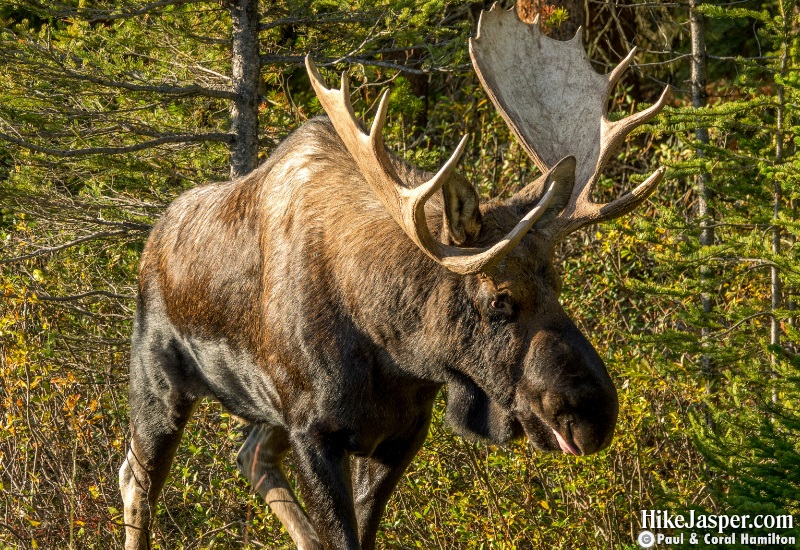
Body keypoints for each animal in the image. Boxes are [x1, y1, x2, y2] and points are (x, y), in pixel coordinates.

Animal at [119, 5, 668, 550]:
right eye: (499, 298)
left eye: (557, 282)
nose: (595, 414)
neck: (393, 345)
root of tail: (152, 241)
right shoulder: (313, 430)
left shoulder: (402, 433)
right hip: (158, 379)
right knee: (136, 479)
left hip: (262, 410)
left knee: (250, 455)